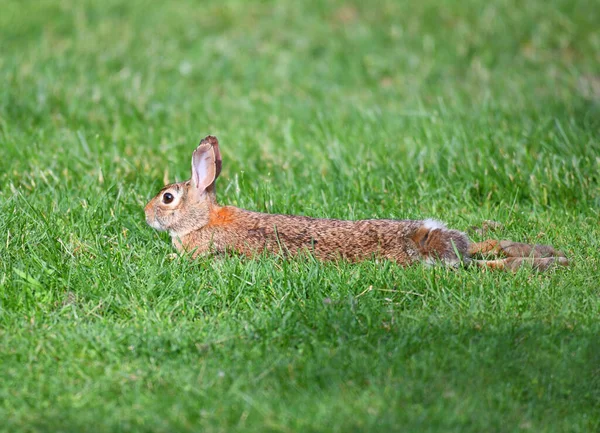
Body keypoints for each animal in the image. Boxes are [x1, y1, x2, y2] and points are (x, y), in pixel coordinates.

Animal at [145, 135, 568, 270]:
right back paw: (554, 257)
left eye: (167, 197)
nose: (146, 213)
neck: (202, 220)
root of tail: (426, 237)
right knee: (489, 247)